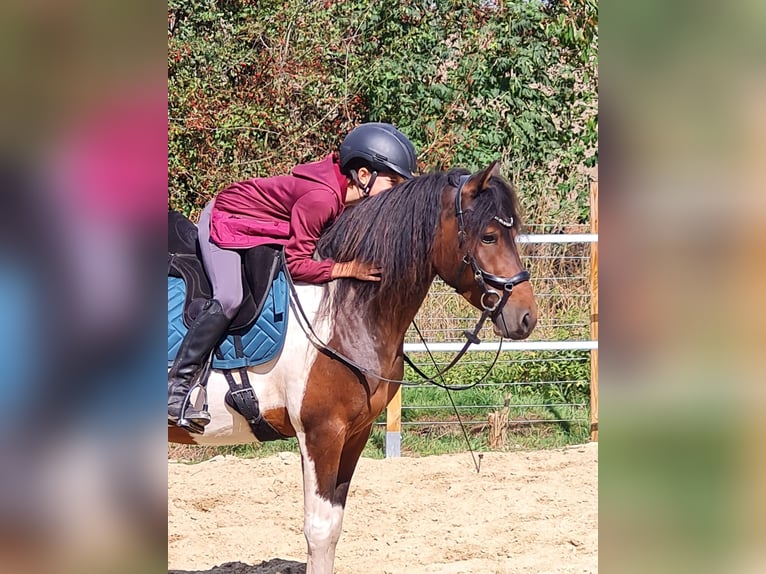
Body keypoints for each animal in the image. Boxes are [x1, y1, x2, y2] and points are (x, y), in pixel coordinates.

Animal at [167, 161, 538, 574]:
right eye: (489, 237)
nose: (526, 317)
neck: (344, 310)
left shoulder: (355, 434)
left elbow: (335, 525)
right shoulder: (321, 434)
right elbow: (319, 529)